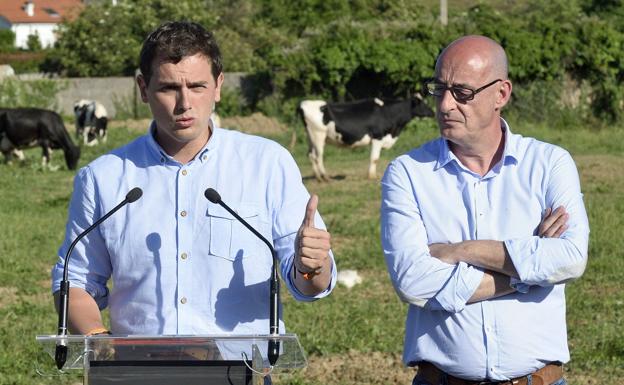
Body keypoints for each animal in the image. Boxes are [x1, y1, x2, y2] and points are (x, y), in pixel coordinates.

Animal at [302, 96, 434, 180]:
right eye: (423, 104)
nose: (432, 112)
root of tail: (305, 104)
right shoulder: (378, 137)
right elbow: (374, 158)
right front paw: (372, 176)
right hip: (318, 135)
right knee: (318, 156)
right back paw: (325, 177)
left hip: (310, 137)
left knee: (310, 155)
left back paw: (317, 177)